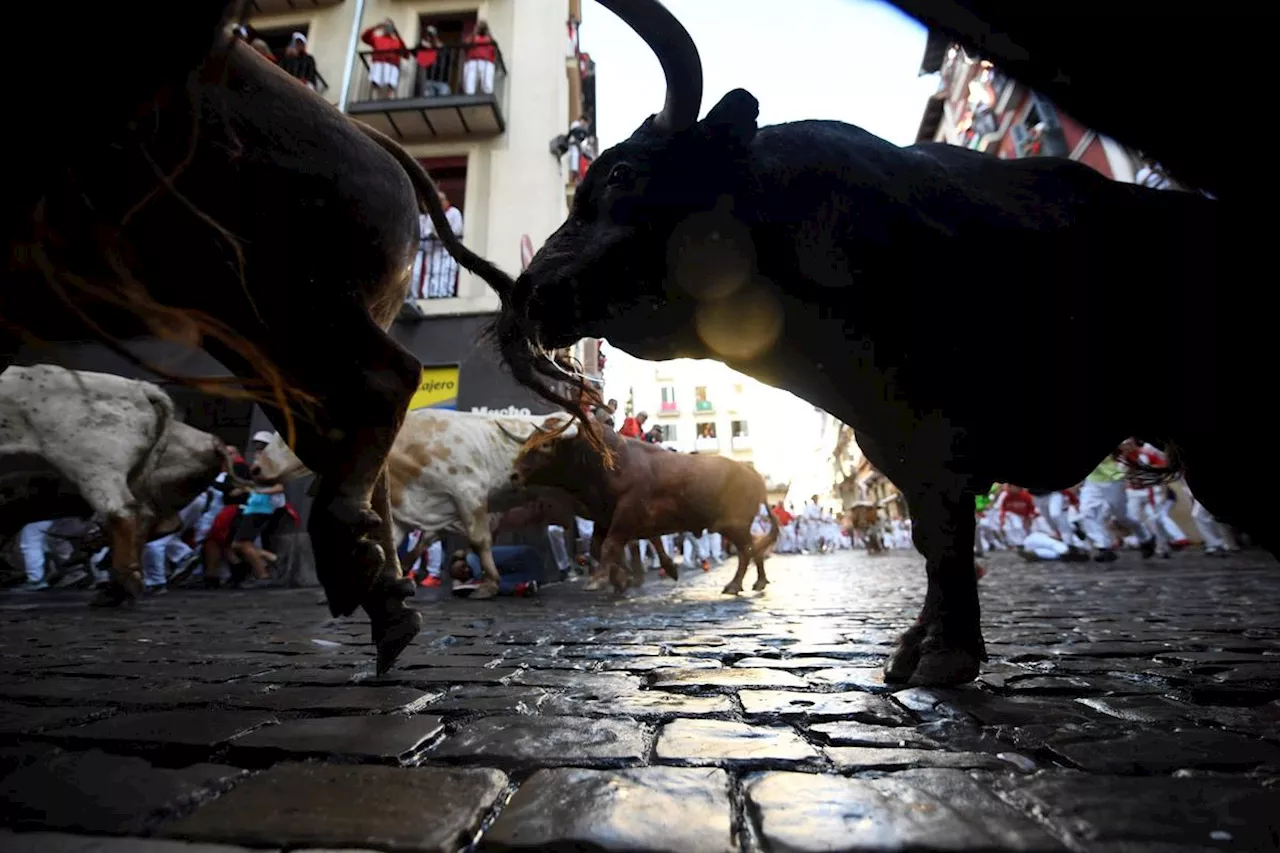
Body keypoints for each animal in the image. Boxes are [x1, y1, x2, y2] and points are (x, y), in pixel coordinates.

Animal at [512, 417, 778, 591]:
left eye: (545, 445)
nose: (514, 474)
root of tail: (752, 473)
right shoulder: (605, 518)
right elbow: (600, 547)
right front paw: (621, 578)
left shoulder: (626, 514)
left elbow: (610, 546)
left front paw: (600, 579)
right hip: (734, 527)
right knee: (754, 548)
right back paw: (758, 582)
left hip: (735, 524)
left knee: (747, 551)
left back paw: (734, 585)